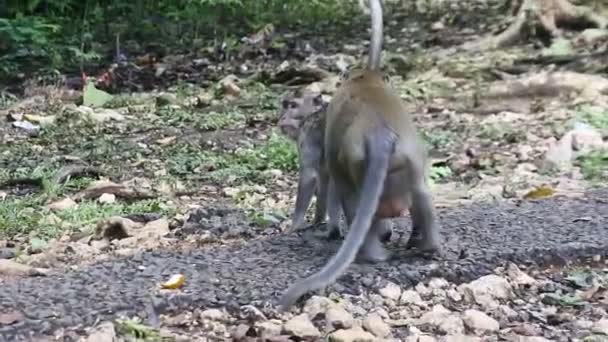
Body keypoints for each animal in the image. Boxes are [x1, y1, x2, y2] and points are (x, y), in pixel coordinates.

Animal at [278, 0, 440, 310]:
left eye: (290, 105)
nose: (280, 119)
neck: (363, 79)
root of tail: (379, 134)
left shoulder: (309, 139)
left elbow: (311, 178)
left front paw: (296, 225)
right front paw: (316, 222)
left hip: (355, 166)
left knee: (346, 194)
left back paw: (368, 250)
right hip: (408, 161)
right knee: (419, 192)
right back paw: (425, 245)